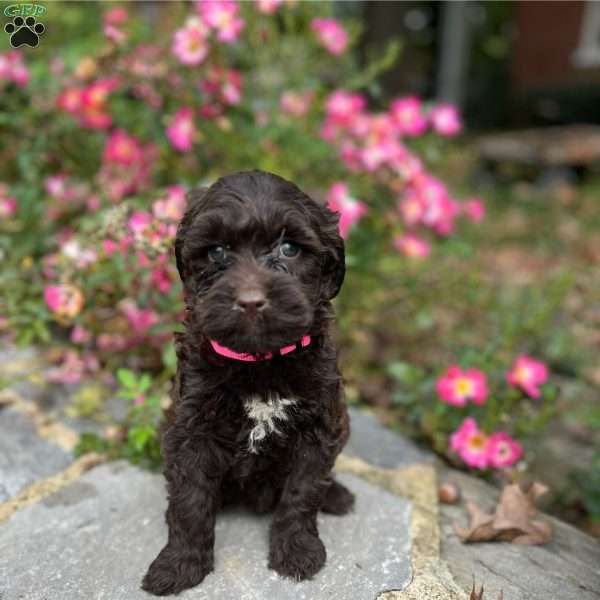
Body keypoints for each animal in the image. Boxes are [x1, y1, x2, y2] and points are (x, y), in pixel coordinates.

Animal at [142, 169, 354, 596]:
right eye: (217, 252)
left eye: (289, 249)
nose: (251, 301)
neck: (260, 361)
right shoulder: (190, 428)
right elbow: (189, 501)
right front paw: (178, 565)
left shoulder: (319, 425)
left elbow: (303, 491)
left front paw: (297, 552)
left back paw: (337, 494)